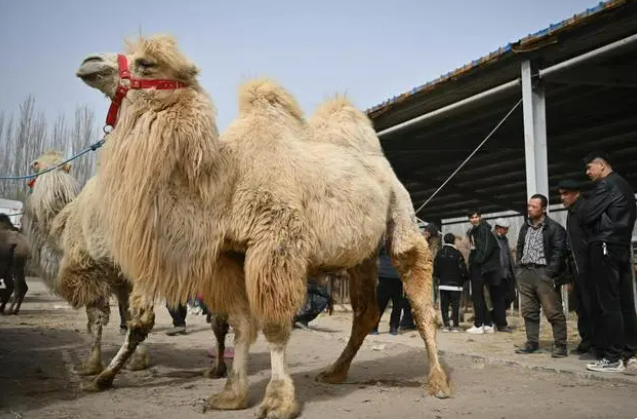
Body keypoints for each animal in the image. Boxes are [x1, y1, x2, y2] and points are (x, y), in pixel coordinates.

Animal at [77, 33, 450, 419]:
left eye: (147, 63)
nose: (90, 63)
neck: (223, 181)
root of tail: (380, 164)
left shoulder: (275, 242)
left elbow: (272, 325)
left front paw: (278, 401)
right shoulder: (229, 255)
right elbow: (242, 324)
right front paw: (231, 394)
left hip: (401, 211)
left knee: (418, 292)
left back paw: (437, 381)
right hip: (361, 254)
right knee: (365, 310)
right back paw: (335, 372)